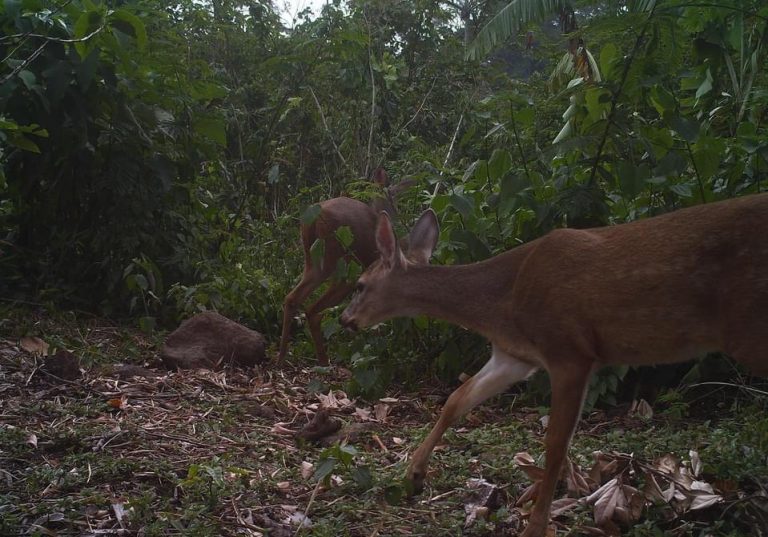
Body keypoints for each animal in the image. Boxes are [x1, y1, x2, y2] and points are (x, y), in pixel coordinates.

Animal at [278, 170, 414, 366]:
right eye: (393, 195)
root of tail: (315, 215)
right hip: (346, 265)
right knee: (313, 310)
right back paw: (324, 362)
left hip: (314, 260)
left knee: (292, 298)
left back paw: (283, 357)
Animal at [342, 195, 768, 536]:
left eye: (360, 285)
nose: (346, 320)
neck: (499, 301)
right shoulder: (514, 356)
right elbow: (456, 399)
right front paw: (413, 475)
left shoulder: (569, 351)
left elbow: (555, 443)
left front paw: (536, 525)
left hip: (750, 327)